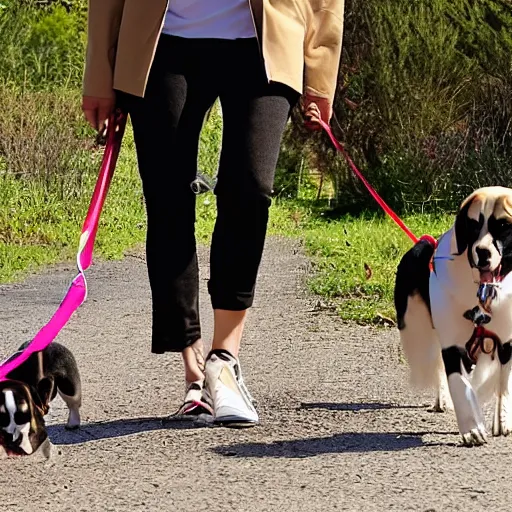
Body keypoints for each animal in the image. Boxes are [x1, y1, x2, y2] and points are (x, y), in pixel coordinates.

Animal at [396, 187, 512, 444]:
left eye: (503, 225)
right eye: (472, 225)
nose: (482, 252)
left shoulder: (508, 343)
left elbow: (505, 384)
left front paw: (502, 421)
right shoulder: (452, 345)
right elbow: (459, 385)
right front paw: (472, 429)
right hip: (418, 330)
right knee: (435, 364)